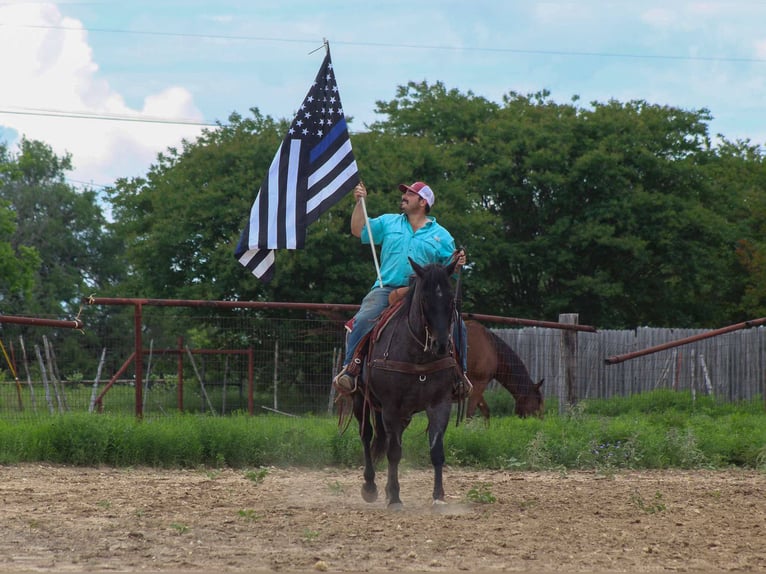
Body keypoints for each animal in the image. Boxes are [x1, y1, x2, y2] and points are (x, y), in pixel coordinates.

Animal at [352, 257, 461, 509]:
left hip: (402, 412)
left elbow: (436, 450)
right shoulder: (391, 405)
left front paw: (438, 497)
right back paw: (370, 487)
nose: (441, 345)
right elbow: (394, 452)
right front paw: (395, 498)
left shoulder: (439, 404)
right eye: (425, 298)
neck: (417, 355)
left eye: (451, 298)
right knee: (367, 435)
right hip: (360, 399)